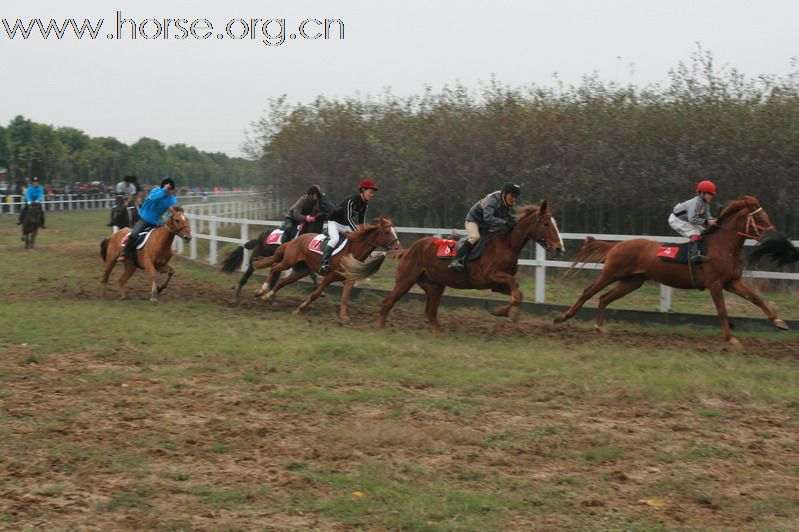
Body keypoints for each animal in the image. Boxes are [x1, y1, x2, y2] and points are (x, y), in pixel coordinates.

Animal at [253, 216, 400, 320]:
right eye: (387, 231)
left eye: (395, 231)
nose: (397, 248)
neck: (351, 251)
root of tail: (294, 240)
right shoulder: (329, 277)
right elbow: (316, 294)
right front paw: (299, 309)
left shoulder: (349, 280)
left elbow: (345, 298)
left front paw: (343, 317)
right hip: (289, 261)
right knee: (274, 267)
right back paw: (262, 290)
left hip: (301, 270)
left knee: (282, 281)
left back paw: (267, 295)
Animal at [342, 202, 564, 330]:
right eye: (546, 224)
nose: (559, 248)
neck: (506, 244)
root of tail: (409, 249)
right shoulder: (487, 277)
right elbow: (516, 289)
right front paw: (508, 313)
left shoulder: (497, 284)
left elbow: (518, 292)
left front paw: (503, 312)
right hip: (405, 280)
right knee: (388, 302)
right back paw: (380, 327)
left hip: (435, 285)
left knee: (430, 312)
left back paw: (438, 332)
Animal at [556, 196, 788, 344]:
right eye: (760, 218)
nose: (773, 235)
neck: (723, 246)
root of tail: (617, 245)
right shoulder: (714, 284)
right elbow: (722, 309)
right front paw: (731, 338)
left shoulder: (732, 282)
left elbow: (756, 298)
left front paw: (779, 322)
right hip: (611, 273)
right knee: (589, 291)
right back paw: (563, 317)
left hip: (632, 281)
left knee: (604, 297)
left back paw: (599, 327)